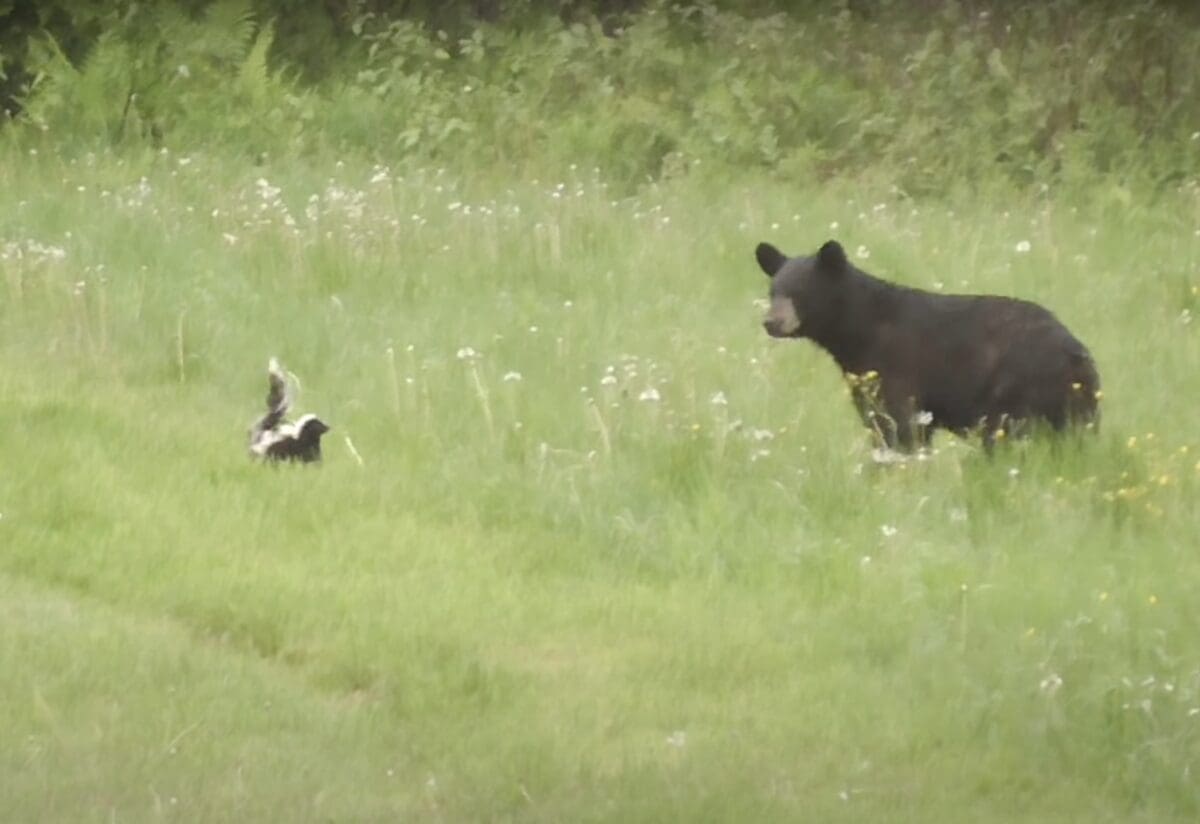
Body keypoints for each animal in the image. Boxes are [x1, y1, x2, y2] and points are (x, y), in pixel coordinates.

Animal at [754, 239, 1100, 452]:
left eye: (800, 292)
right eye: (774, 291)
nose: (771, 322)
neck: (860, 331)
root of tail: (1076, 352)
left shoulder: (896, 367)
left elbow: (898, 425)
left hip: (1016, 391)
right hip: (1074, 405)